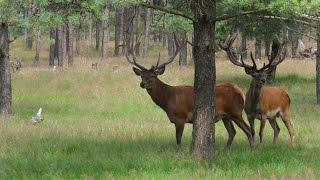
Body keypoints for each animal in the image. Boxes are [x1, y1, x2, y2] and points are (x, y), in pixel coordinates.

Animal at [126, 35, 254, 148]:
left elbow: (178, 140)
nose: (142, 84)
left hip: (236, 111)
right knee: (232, 132)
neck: (168, 99)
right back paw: (225, 150)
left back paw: (252, 148)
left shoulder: (181, 118)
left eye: (152, 76)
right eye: (142, 76)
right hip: (226, 116)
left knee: (248, 129)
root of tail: (240, 91)